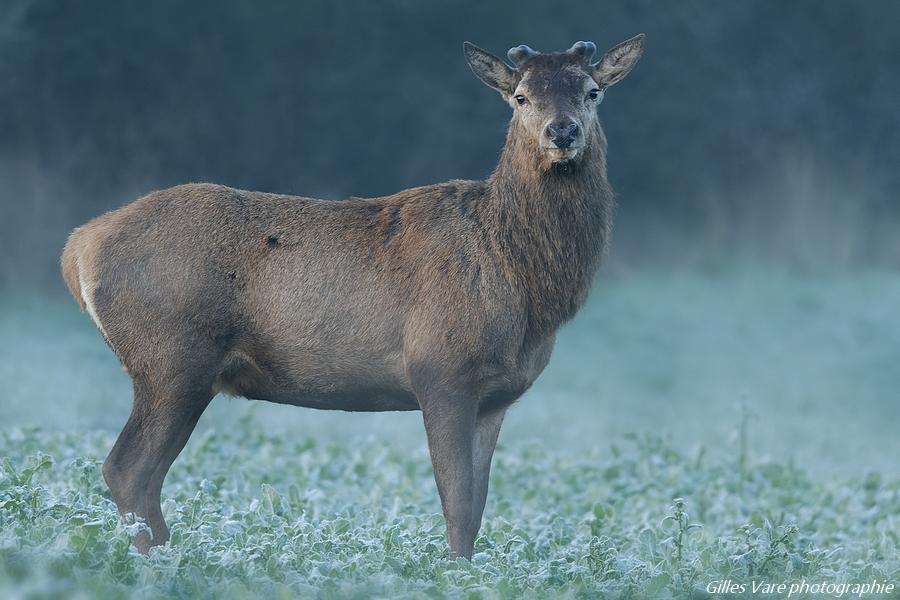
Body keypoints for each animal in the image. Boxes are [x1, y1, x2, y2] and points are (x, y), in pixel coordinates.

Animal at [59, 35, 644, 560]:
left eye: (592, 91)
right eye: (520, 96)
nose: (562, 131)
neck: (523, 282)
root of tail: (80, 247)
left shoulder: (497, 396)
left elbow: (478, 508)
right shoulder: (441, 369)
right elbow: (455, 504)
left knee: (139, 475)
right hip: (172, 358)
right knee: (127, 468)